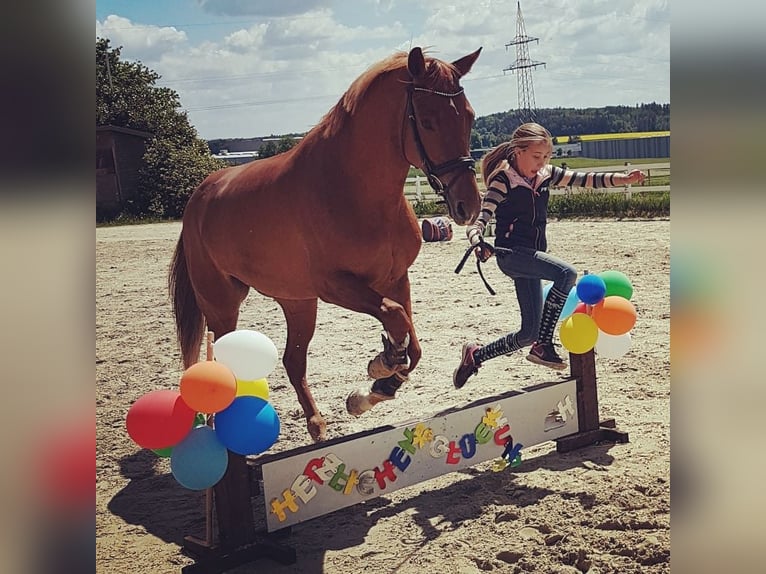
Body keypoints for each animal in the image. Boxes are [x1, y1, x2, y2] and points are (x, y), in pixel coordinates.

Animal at [170, 47, 480, 444]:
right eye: (426, 122)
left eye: (469, 116)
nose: (468, 206)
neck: (352, 189)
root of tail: (199, 197)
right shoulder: (337, 286)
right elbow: (395, 317)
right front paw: (382, 364)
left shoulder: (396, 279)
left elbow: (412, 342)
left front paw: (375, 388)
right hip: (223, 305)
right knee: (230, 361)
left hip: (298, 302)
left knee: (293, 360)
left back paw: (316, 423)